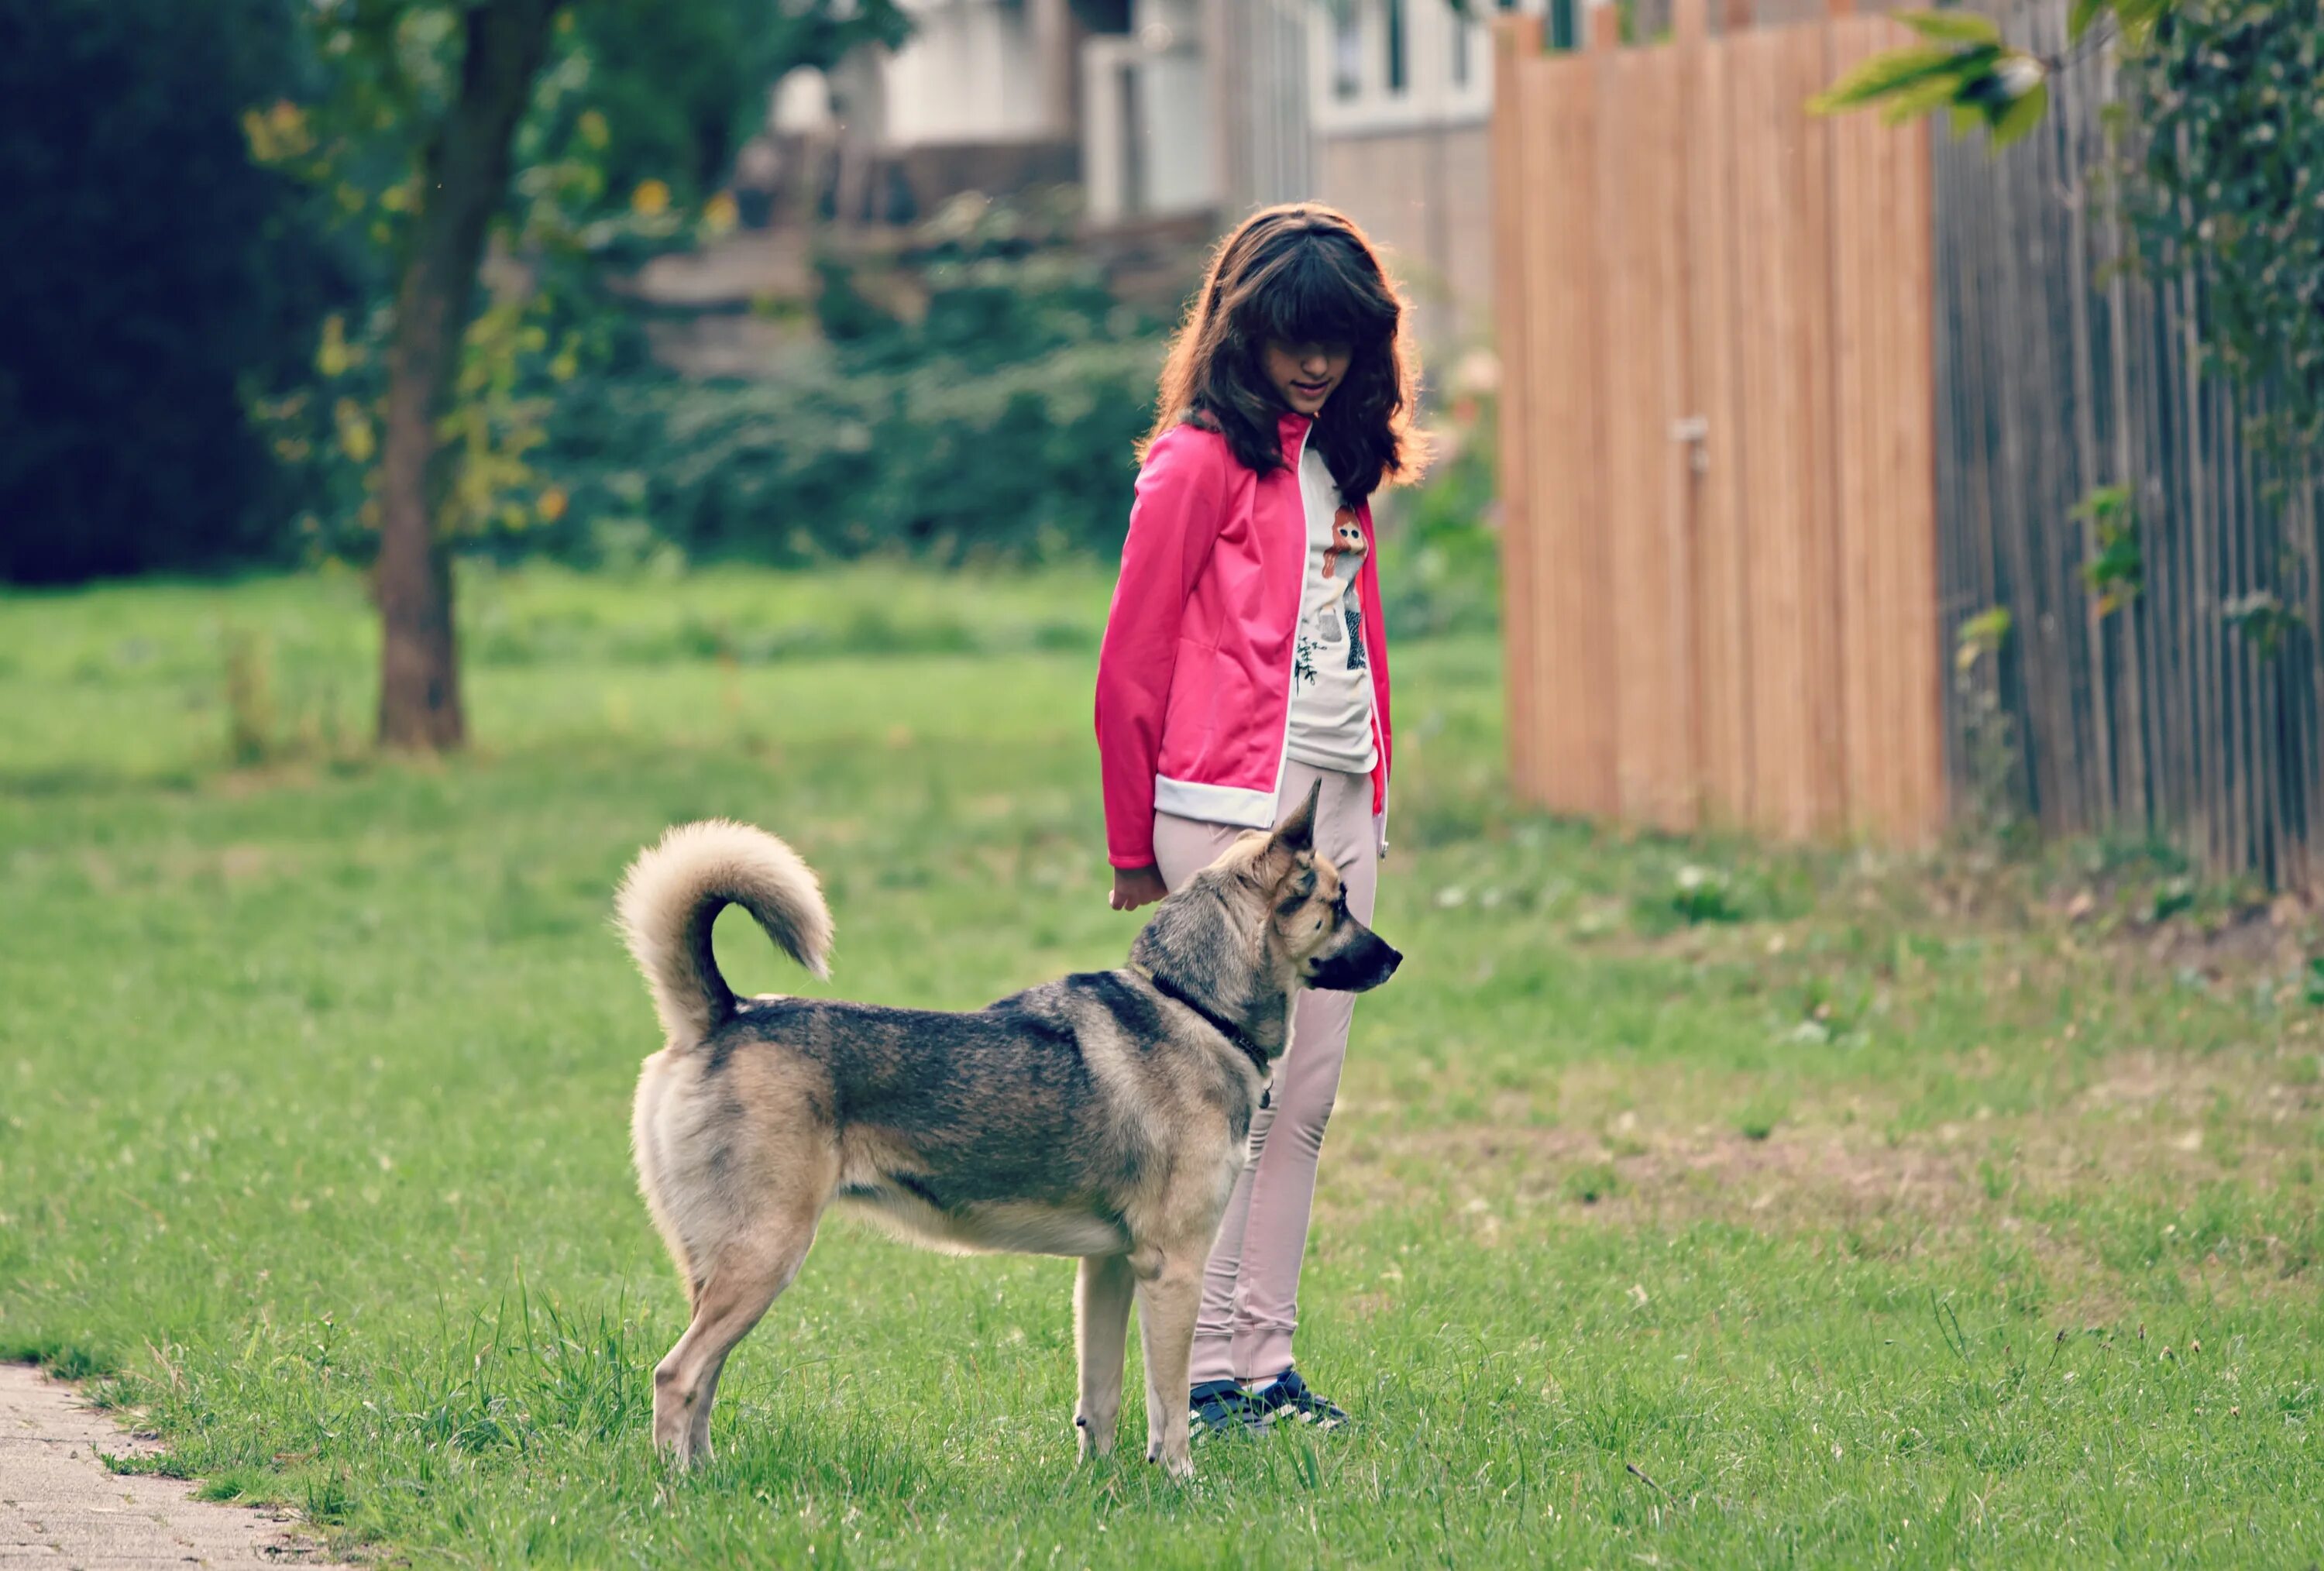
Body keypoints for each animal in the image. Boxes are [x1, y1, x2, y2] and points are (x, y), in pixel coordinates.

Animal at [618, 790, 1394, 1478]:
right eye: (1338, 903)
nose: (1396, 959)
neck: (1192, 1006)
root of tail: (724, 1015)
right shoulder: (1172, 1269)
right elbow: (1168, 1407)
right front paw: (1181, 1483)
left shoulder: (1109, 1268)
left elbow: (1101, 1398)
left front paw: (1099, 1486)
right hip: (764, 1258)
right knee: (676, 1377)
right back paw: (680, 1488)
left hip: (727, 1272)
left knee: (704, 1381)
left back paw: (709, 1476)